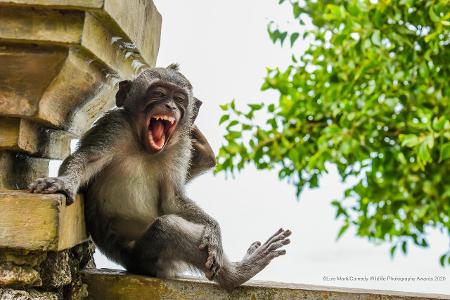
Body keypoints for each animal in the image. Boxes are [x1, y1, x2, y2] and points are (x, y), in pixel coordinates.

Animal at [27, 63, 292, 290]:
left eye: (179, 99)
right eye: (159, 93)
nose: (170, 107)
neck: (143, 145)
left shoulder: (181, 146)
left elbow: (172, 199)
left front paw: (213, 229)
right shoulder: (114, 126)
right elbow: (86, 160)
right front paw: (62, 183)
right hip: (142, 259)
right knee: (167, 228)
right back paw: (238, 274)